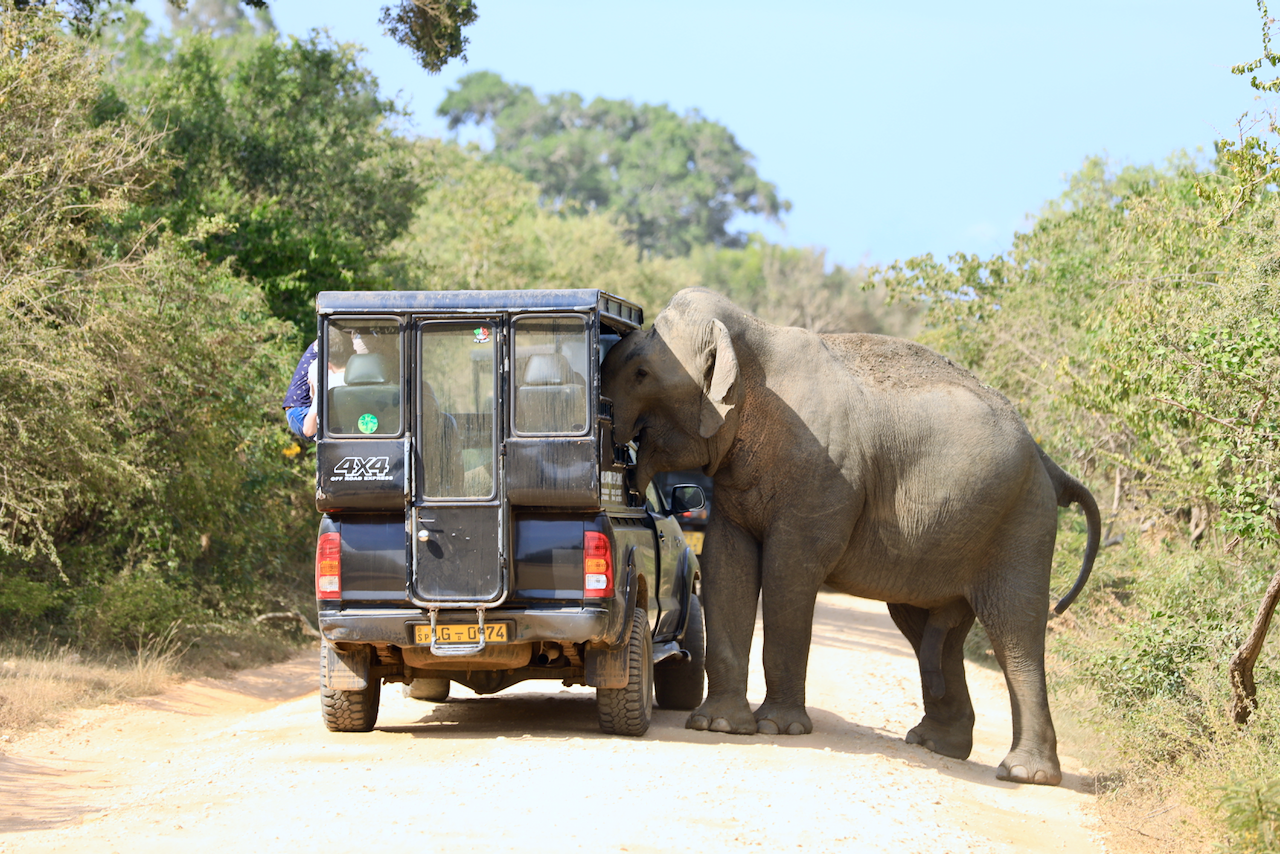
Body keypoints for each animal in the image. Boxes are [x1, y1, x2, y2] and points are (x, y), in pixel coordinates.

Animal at [601, 289, 1100, 788]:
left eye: (642, 373)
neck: (754, 342)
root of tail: (1044, 456)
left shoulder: (824, 474)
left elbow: (789, 572)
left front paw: (777, 728)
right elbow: (728, 567)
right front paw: (719, 725)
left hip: (1021, 521)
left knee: (1014, 627)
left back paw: (1023, 773)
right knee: (928, 627)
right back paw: (935, 745)